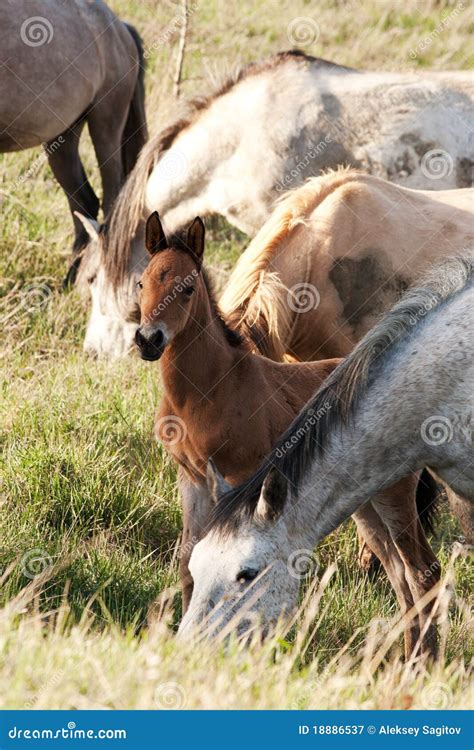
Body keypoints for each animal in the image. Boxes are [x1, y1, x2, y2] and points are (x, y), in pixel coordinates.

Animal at [0, 0, 147, 282]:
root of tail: (120, 28)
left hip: (106, 124)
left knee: (111, 198)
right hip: (62, 139)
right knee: (83, 201)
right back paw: (71, 279)